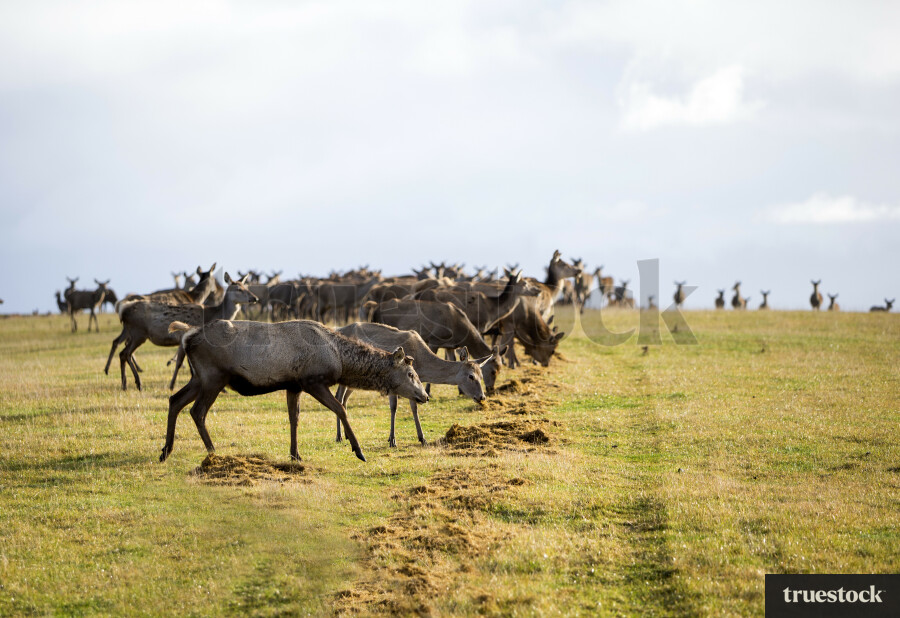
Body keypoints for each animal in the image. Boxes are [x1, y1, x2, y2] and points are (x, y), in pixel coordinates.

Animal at [105, 273, 258, 391]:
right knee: (125, 353)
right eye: (239, 289)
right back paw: (136, 383)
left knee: (123, 352)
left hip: (132, 333)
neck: (211, 314)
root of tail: (122, 310)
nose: (255, 298)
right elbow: (182, 363)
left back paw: (125, 384)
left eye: (247, 287)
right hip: (138, 332)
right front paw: (172, 385)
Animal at [161, 319, 428, 463]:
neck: (340, 360)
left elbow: (294, 418)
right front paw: (358, 450)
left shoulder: (293, 385)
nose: (425, 396)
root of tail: (188, 337)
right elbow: (341, 409)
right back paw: (212, 452)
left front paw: (295, 454)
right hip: (213, 377)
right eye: (410, 373)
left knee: (175, 400)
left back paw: (166, 450)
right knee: (197, 411)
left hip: (199, 377)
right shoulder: (312, 381)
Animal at [335, 322, 489, 446]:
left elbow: (414, 408)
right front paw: (392, 440)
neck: (420, 365)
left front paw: (422, 439)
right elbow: (394, 407)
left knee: (345, 399)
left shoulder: (412, 388)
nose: (482, 397)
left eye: (481, 375)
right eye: (471, 376)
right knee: (339, 398)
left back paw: (347, 435)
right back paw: (339, 436)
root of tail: (338, 328)